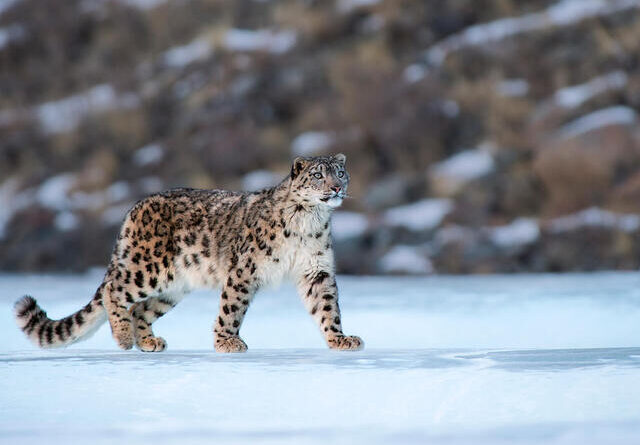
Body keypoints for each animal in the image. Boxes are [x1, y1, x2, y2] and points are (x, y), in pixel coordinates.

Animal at [14, 154, 364, 353]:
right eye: (318, 175)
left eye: (340, 172)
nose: (336, 187)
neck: (310, 221)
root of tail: (134, 209)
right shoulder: (244, 270)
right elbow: (232, 307)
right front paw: (226, 342)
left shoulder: (316, 269)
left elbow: (327, 307)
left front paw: (340, 338)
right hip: (147, 269)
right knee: (114, 289)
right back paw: (124, 337)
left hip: (173, 287)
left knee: (141, 310)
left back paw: (149, 342)